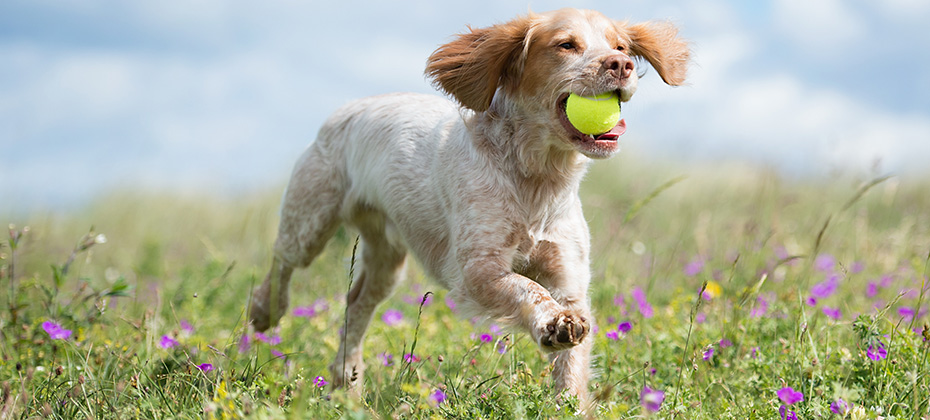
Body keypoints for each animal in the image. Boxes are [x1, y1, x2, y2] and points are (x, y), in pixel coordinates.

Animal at [248, 8, 688, 402]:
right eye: (566, 45)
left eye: (620, 46)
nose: (621, 64)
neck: (536, 177)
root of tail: (348, 107)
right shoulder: (477, 269)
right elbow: (527, 288)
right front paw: (552, 322)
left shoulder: (569, 278)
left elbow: (572, 371)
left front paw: (569, 401)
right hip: (310, 221)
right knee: (283, 262)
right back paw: (265, 310)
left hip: (387, 260)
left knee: (356, 305)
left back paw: (347, 382)